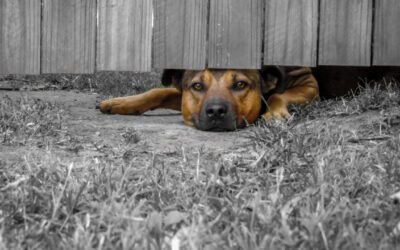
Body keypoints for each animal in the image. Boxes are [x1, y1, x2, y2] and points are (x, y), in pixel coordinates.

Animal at [99, 67, 318, 132]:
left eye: (240, 84)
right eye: (197, 86)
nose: (215, 111)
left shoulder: (309, 83)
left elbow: (278, 94)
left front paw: (274, 114)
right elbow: (159, 91)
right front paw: (120, 103)